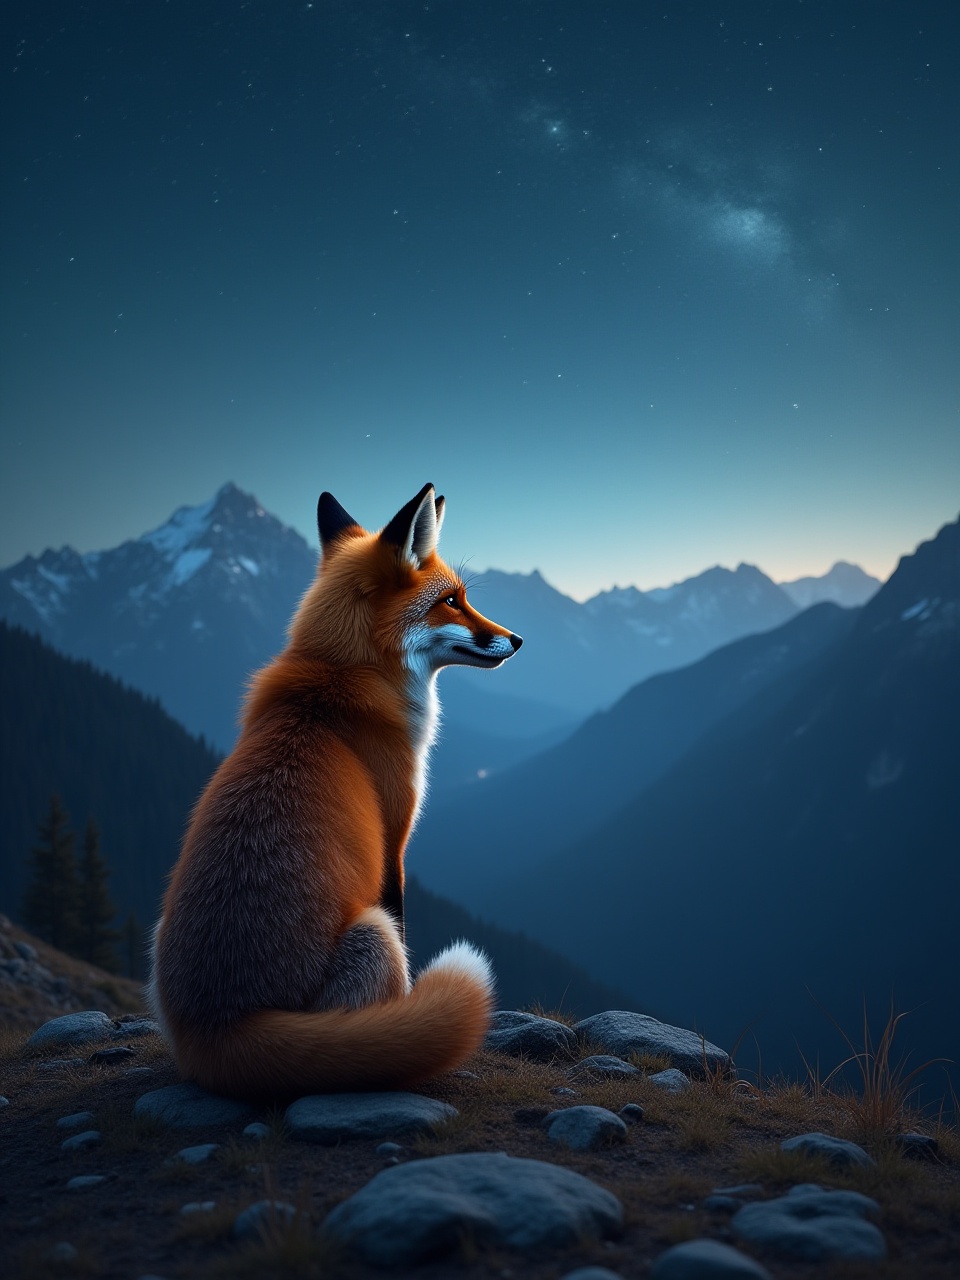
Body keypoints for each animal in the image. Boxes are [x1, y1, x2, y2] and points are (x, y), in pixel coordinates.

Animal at [148, 483, 522, 1103]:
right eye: (452, 600)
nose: (516, 639)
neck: (336, 683)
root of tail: (219, 1025)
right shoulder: (395, 839)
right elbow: (403, 909)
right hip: (373, 932)